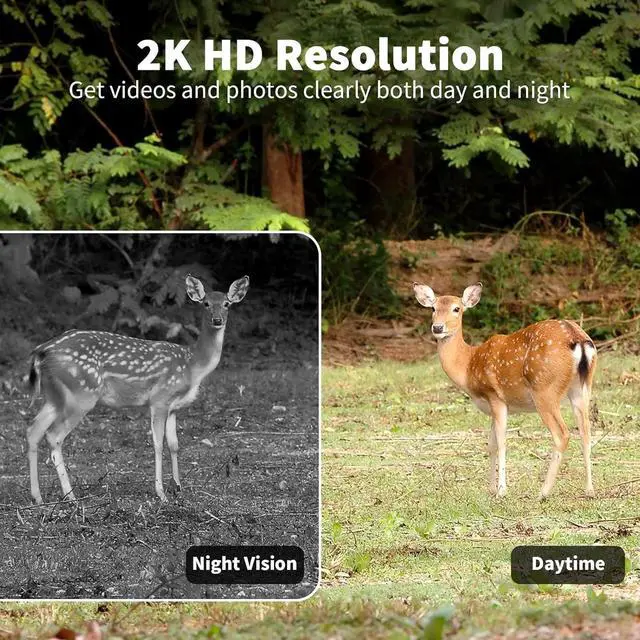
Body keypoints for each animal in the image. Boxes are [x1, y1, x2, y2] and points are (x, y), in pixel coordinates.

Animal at [27, 274, 249, 505]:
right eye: (205, 303)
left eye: (227, 303)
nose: (217, 320)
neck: (192, 365)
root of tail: (41, 351)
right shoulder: (160, 398)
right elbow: (158, 444)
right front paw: (161, 493)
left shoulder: (174, 407)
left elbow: (174, 444)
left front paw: (178, 487)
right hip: (82, 393)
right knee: (53, 435)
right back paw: (70, 496)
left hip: (54, 395)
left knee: (33, 430)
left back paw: (38, 496)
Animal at [413, 282, 597, 500]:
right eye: (433, 308)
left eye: (456, 308)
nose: (438, 327)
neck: (468, 364)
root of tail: (578, 339)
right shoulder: (494, 405)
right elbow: (490, 443)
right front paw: (491, 488)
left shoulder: (496, 397)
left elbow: (501, 443)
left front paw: (501, 490)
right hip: (582, 388)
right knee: (586, 431)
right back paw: (589, 490)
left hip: (545, 389)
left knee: (562, 434)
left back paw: (543, 492)